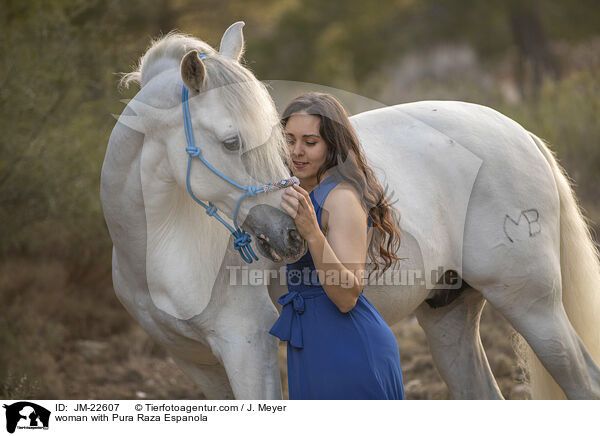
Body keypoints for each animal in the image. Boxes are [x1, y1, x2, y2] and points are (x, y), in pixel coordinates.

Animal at [102, 23, 600, 398]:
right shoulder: (196, 364)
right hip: (448, 317)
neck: (160, 245)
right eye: (231, 142)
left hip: (533, 307)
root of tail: (522, 134)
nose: (291, 234)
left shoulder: (247, 349)